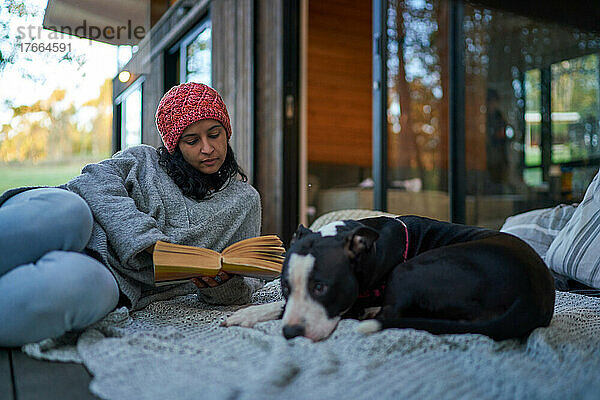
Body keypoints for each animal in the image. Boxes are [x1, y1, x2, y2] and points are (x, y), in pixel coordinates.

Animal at [225, 216, 556, 340]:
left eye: (321, 287)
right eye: (285, 286)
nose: (291, 332)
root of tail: (531, 295)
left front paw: (247, 314)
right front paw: (247, 313)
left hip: (411, 270)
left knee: (392, 313)